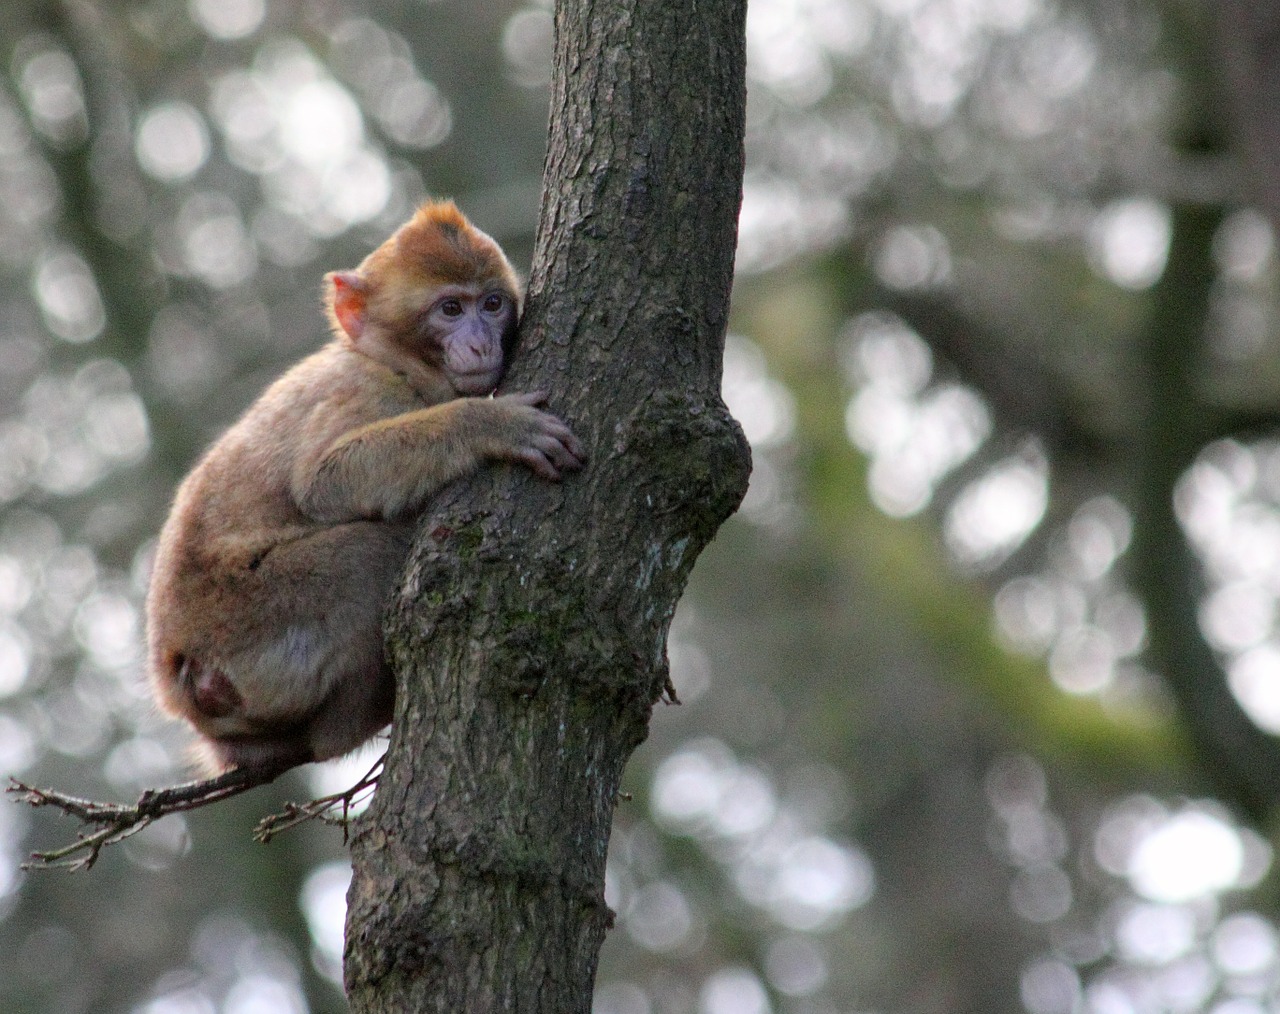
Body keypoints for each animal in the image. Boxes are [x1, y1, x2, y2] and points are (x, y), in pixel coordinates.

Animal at [147, 195, 586, 768]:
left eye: (491, 304)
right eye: (451, 309)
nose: (480, 343)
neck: (392, 363)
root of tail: (179, 677)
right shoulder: (366, 392)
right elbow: (323, 483)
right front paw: (490, 425)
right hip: (250, 620)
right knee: (371, 554)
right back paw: (355, 719)